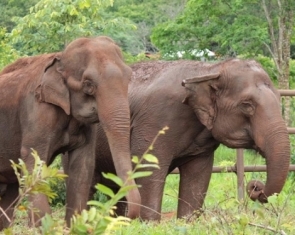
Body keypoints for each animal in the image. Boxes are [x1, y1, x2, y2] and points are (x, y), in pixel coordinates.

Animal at [0, 35, 141, 229]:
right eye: (88, 84)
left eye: (128, 78)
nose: (129, 218)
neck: (59, 58)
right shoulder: (37, 111)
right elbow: (33, 161)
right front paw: (48, 228)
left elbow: (82, 166)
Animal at [63, 57, 290, 221]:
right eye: (247, 105)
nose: (255, 187)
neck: (210, 70)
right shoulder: (156, 119)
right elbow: (149, 167)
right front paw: (149, 224)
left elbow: (198, 174)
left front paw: (187, 222)